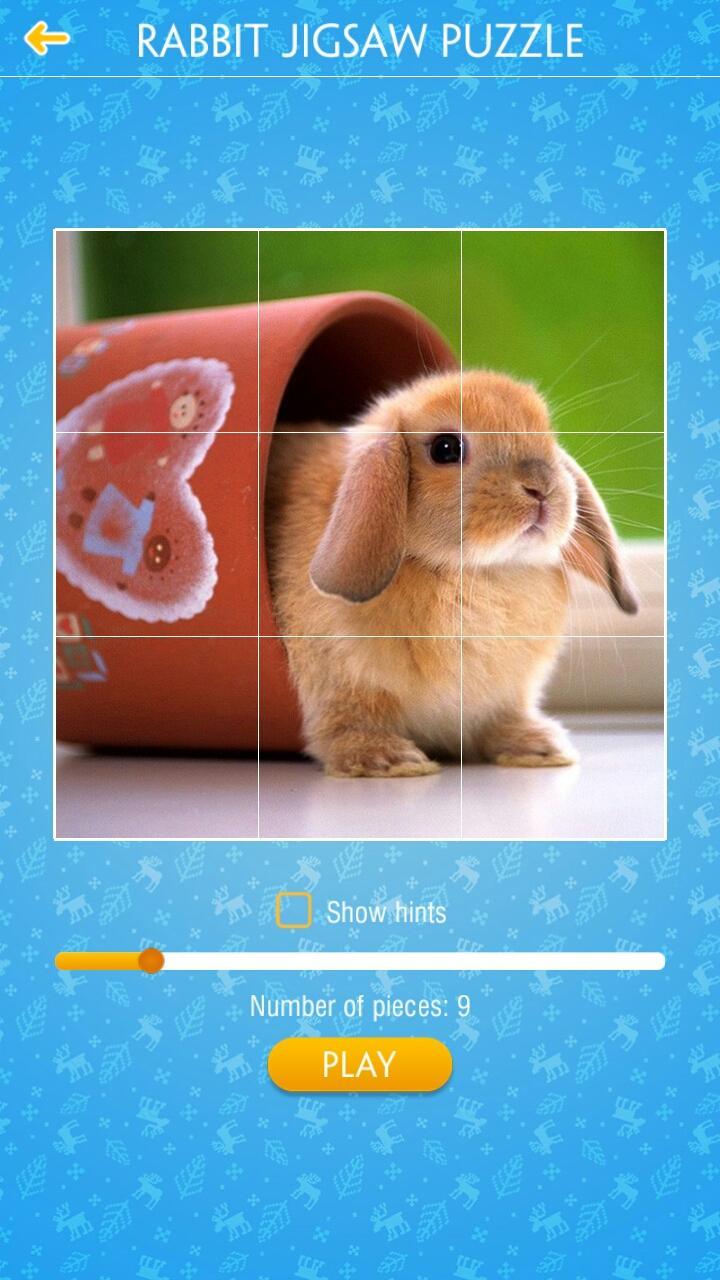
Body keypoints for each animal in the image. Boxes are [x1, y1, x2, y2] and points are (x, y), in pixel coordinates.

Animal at [265, 369, 638, 778]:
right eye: (446, 449)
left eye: (547, 435)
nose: (541, 488)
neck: (471, 572)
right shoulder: (344, 683)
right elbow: (348, 723)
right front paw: (391, 760)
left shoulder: (503, 697)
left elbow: (500, 721)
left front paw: (541, 748)